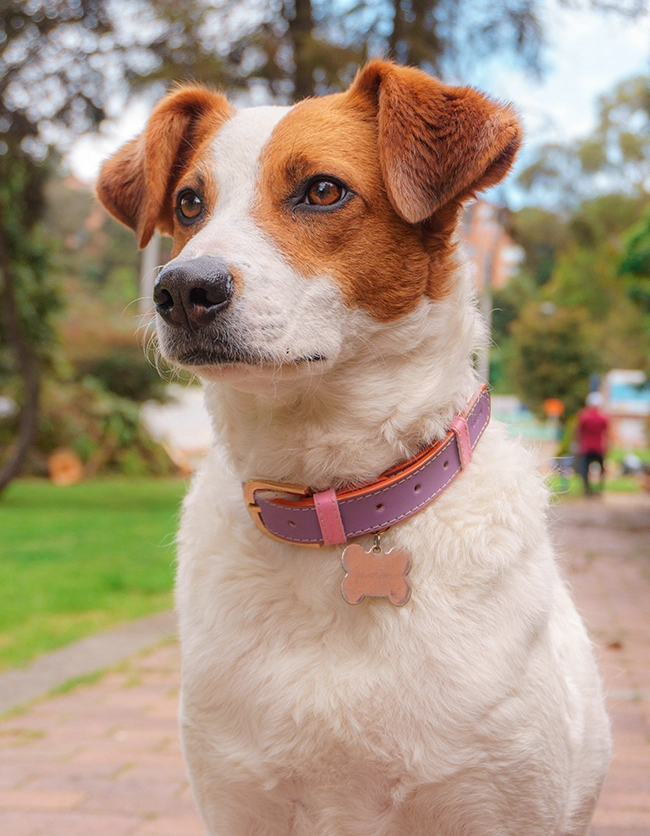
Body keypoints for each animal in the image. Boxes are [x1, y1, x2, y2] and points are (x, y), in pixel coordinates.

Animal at [96, 60, 608, 836]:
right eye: (188, 203)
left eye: (323, 190)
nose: (180, 287)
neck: (331, 497)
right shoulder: (237, 801)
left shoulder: (499, 805)